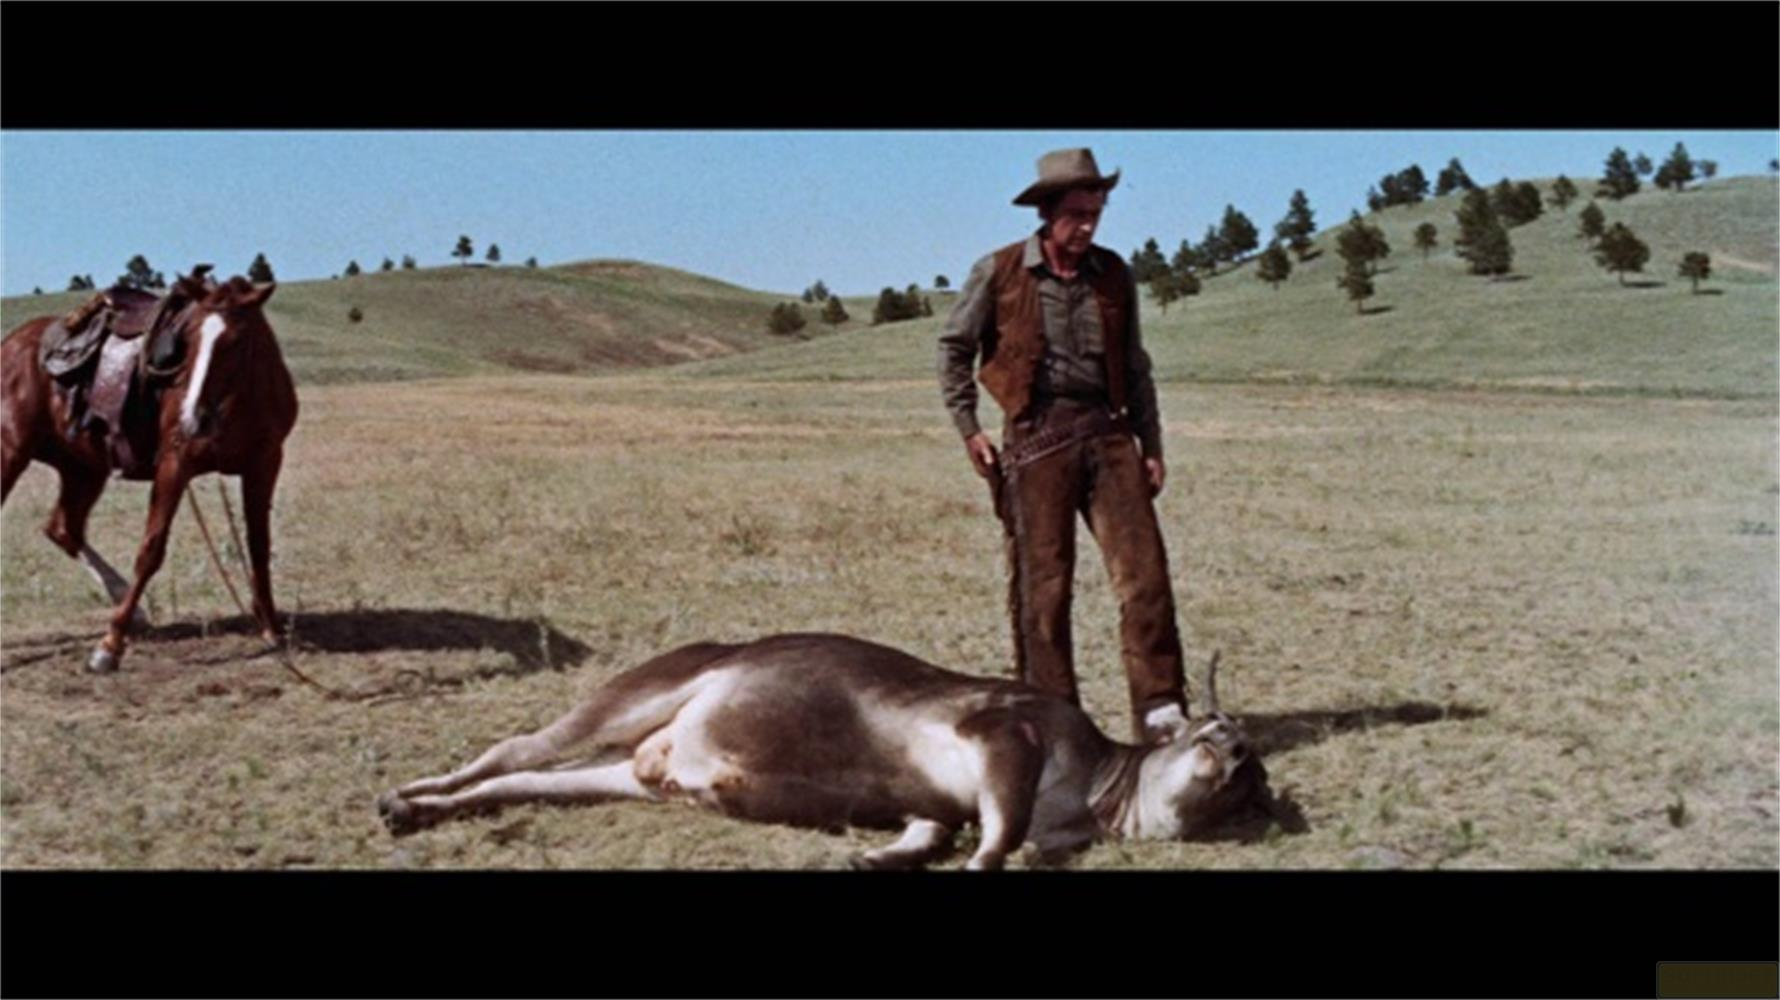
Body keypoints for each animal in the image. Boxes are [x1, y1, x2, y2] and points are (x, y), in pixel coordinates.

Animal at [1, 270, 299, 672]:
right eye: (188, 340)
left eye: (235, 343)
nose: (193, 418)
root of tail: (11, 344)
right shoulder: (175, 464)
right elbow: (150, 550)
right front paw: (109, 646)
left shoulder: (265, 464)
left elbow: (259, 546)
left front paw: (271, 628)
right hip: (11, 453)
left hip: (82, 468)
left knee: (63, 528)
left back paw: (135, 609)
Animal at [378, 633, 1271, 869]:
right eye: (1214, 735)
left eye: (1258, 782)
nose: (1237, 762)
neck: (1092, 791)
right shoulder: (1005, 732)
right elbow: (998, 836)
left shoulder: (935, 802)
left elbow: (934, 833)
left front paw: (871, 859)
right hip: (643, 690)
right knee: (513, 746)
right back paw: (404, 795)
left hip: (629, 774)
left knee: (526, 777)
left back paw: (413, 813)